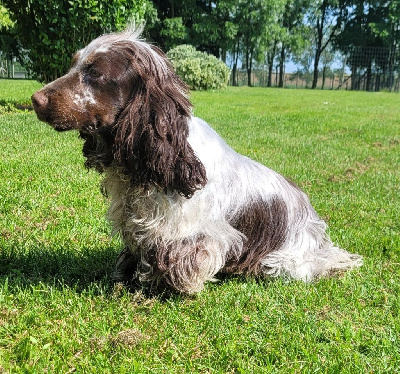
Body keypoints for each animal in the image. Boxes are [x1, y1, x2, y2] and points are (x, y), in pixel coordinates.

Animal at [32, 27, 362, 294]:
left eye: (96, 73)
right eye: (74, 64)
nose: (35, 100)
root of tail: (317, 230)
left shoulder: (192, 234)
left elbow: (180, 259)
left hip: (284, 261)